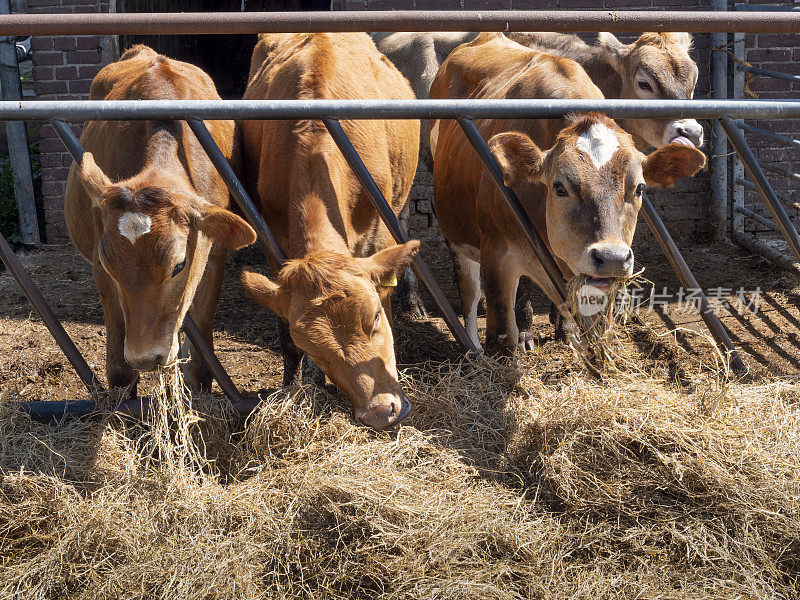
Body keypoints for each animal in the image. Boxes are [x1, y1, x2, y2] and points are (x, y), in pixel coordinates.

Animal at [64, 47, 255, 394]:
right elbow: (119, 371)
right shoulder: (100, 267)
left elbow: (202, 357)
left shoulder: (214, 255)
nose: (144, 357)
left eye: (178, 266)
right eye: (110, 265)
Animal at [236, 32, 418, 428]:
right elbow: (284, 336)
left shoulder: (379, 231)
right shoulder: (274, 244)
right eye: (313, 349)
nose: (380, 412)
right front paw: (295, 387)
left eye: (375, 318)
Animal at [432, 34, 708, 356]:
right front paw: (522, 335)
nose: (611, 257)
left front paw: (569, 332)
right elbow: (502, 335)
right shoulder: (497, 256)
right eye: (559, 187)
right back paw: (473, 347)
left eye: (639, 187)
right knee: (469, 291)